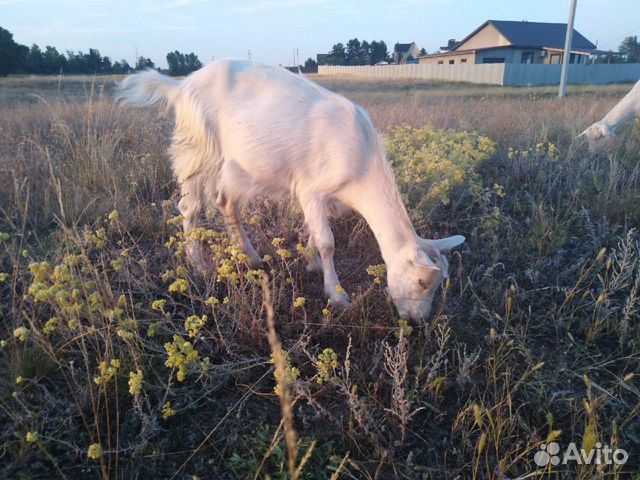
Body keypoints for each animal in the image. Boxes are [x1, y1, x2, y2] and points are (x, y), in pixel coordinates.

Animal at [116, 61, 464, 322]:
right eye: (422, 281)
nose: (418, 320)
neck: (363, 163)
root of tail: (180, 86)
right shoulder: (311, 189)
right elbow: (328, 242)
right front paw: (336, 294)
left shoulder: (324, 197)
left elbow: (318, 228)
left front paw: (310, 262)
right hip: (199, 150)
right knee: (190, 208)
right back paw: (199, 266)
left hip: (238, 167)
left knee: (226, 203)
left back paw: (252, 257)